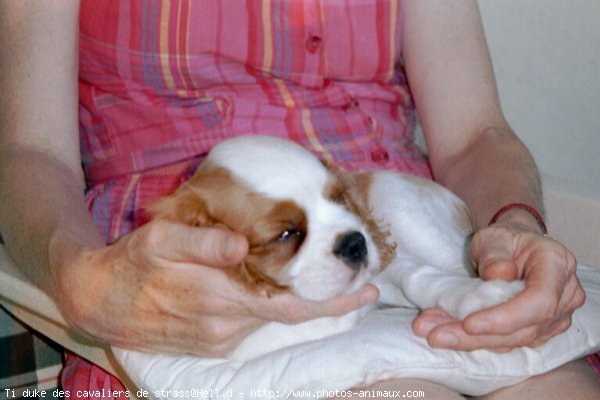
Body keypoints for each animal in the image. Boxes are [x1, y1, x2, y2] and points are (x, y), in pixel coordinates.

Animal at [148, 136, 524, 360]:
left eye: (340, 199)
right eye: (287, 234)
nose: (355, 243)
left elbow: (418, 276)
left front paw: (477, 295)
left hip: (403, 207)